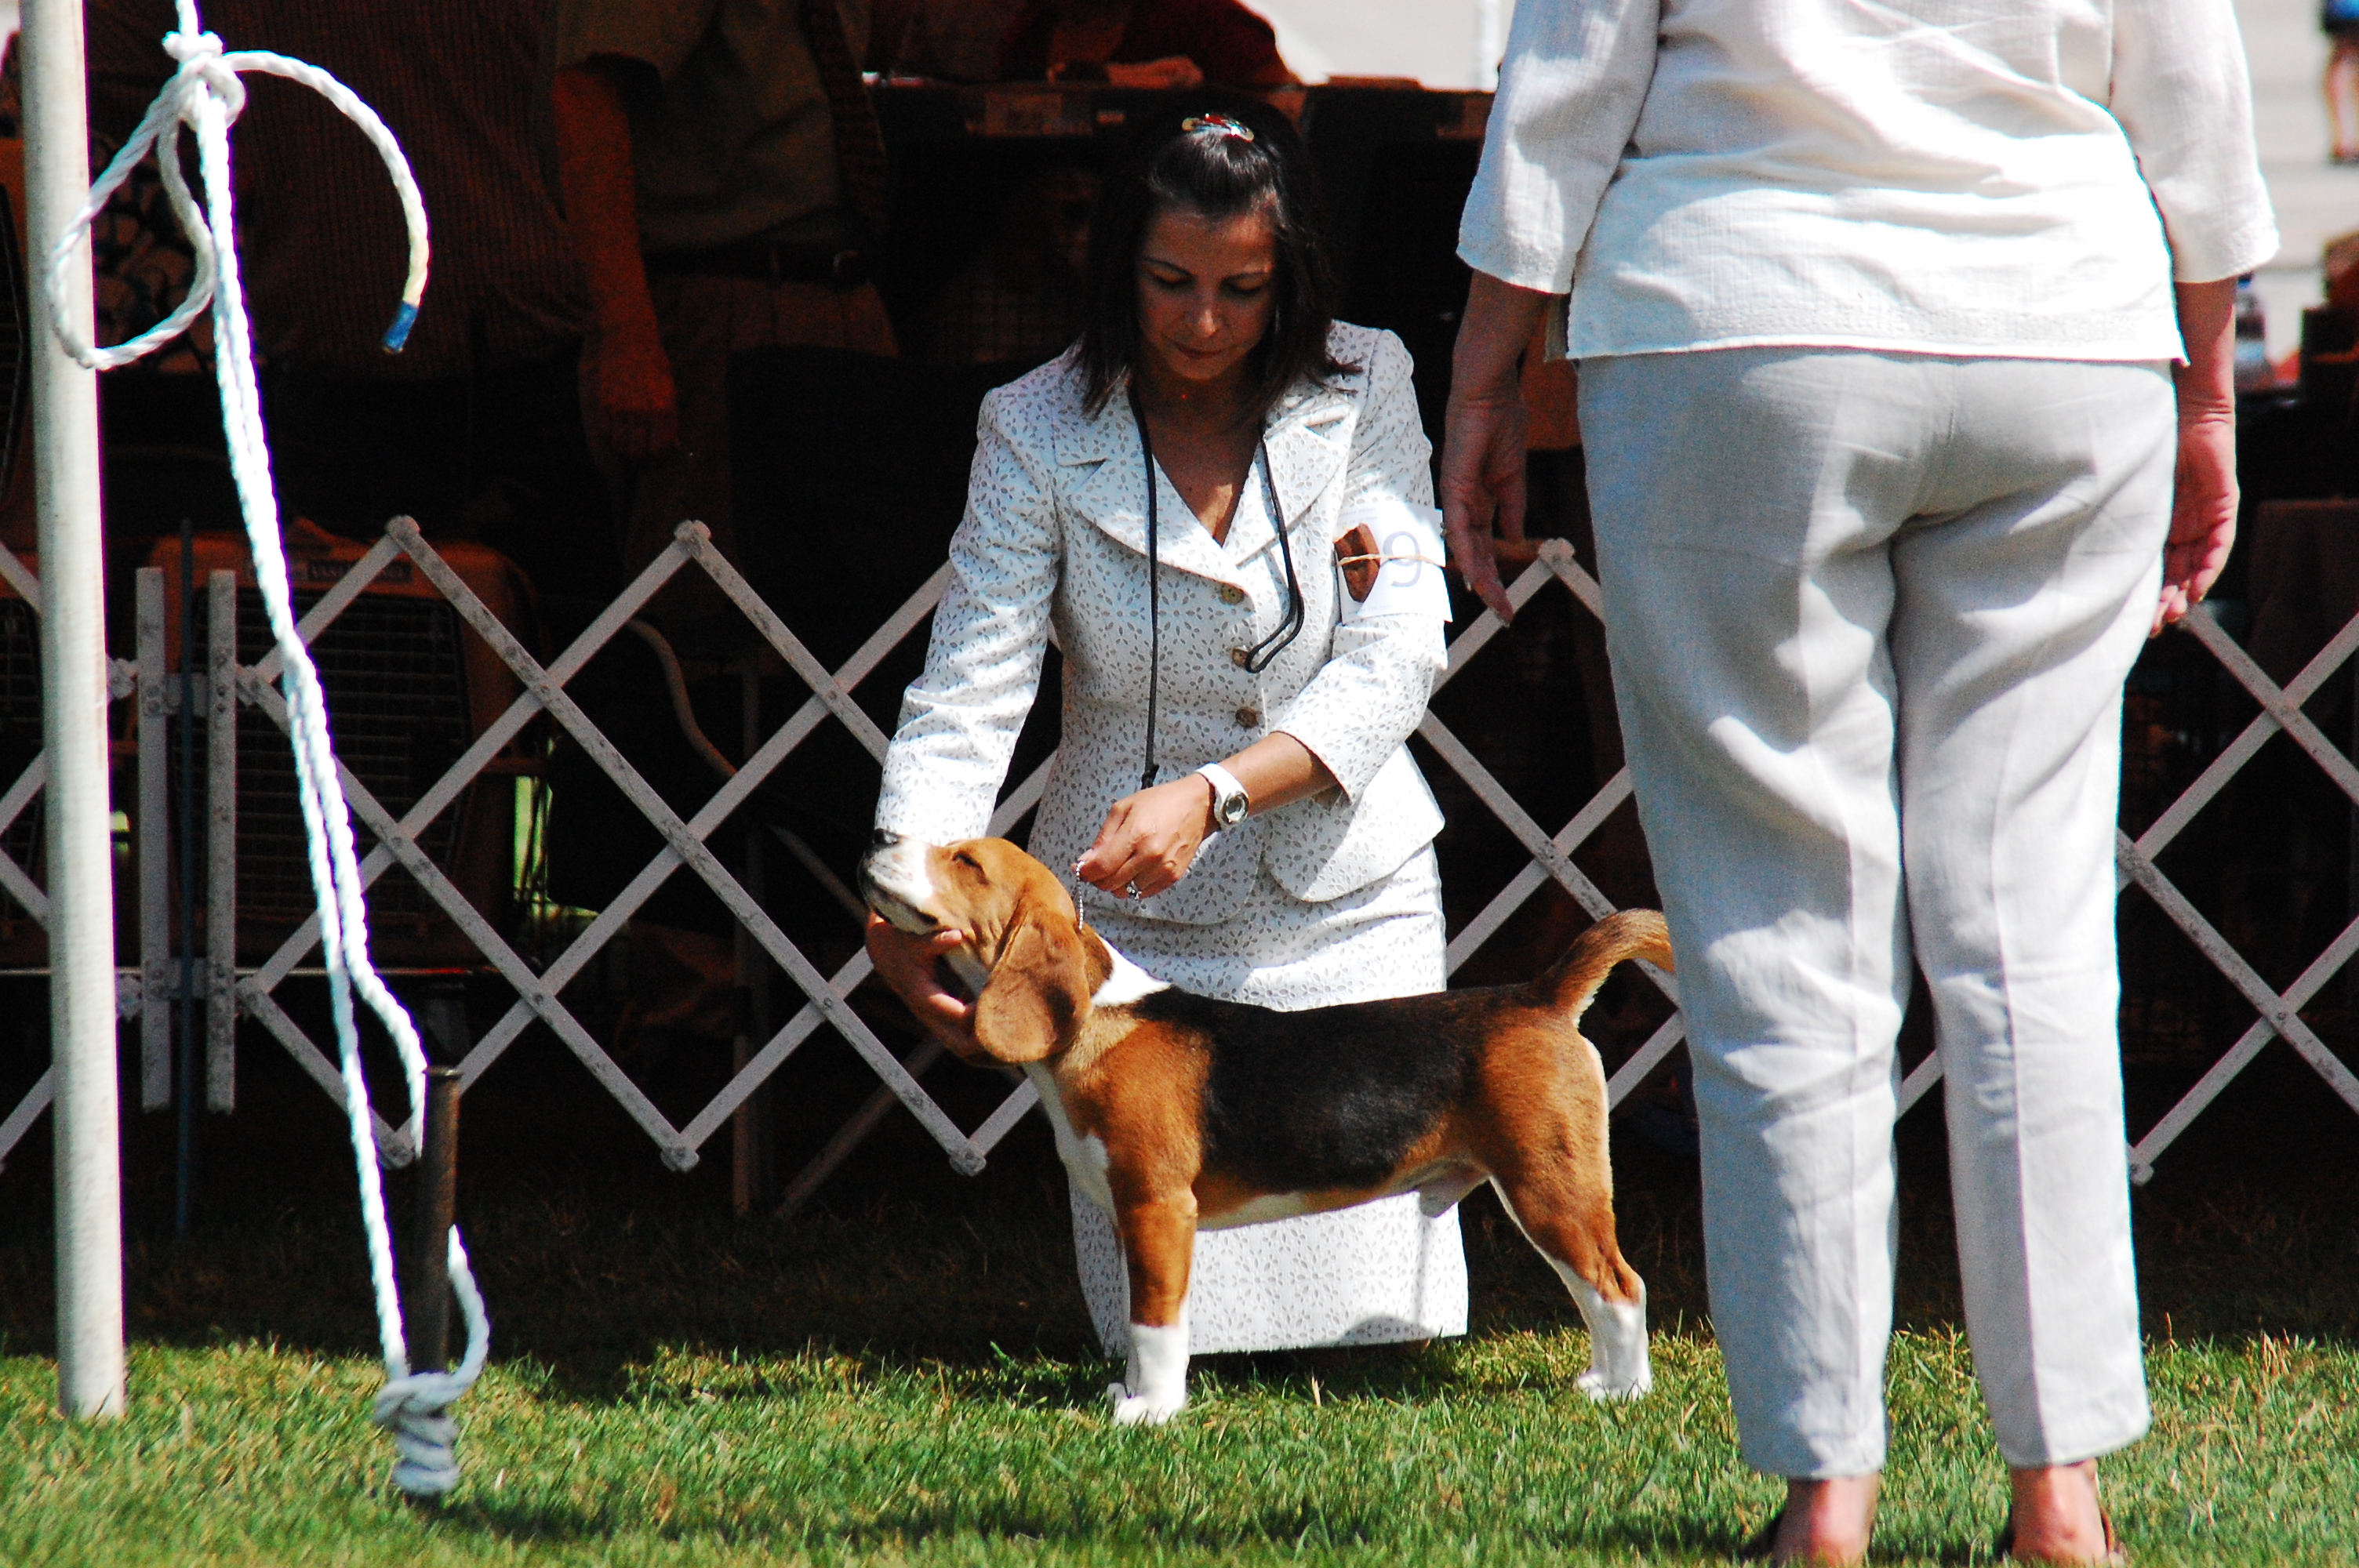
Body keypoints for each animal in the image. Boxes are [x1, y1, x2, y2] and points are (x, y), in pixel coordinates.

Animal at [860, 831, 1672, 1425]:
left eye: (966, 861)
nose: (877, 836)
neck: (1096, 1016)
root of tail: (1540, 996)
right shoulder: (1132, 1221)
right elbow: (1139, 1317)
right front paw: (1131, 1393)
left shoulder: (1159, 1209)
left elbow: (1157, 1323)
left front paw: (1153, 1412)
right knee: (1594, 1292)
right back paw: (1601, 1379)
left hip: (1547, 1185)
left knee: (1620, 1286)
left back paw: (1626, 1393)